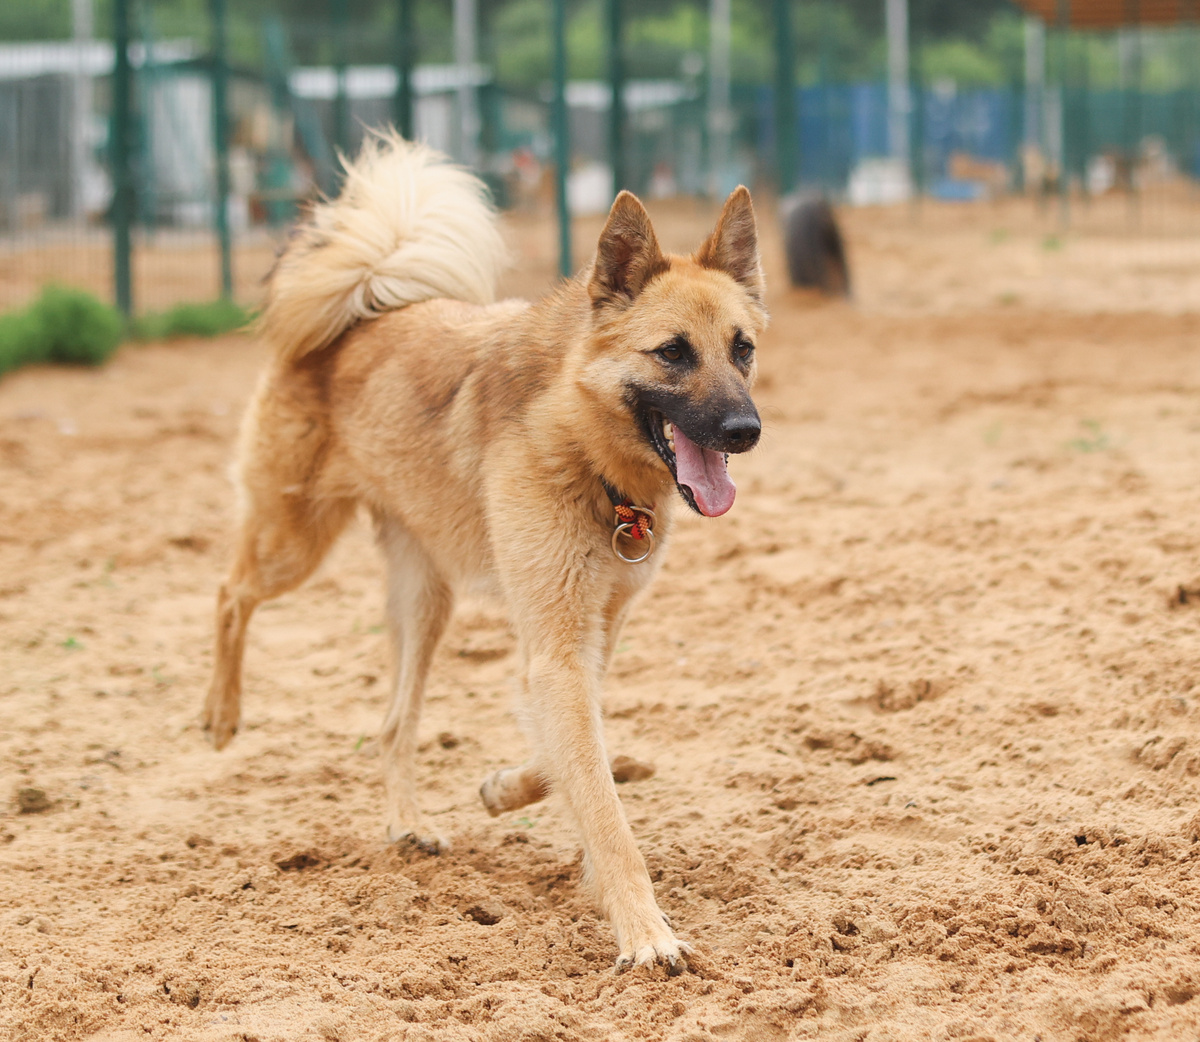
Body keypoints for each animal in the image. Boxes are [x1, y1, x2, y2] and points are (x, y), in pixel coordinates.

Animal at [204, 134, 768, 974]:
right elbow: (603, 805)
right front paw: (645, 933)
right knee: (229, 594)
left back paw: (408, 824)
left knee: (391, 725)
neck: (581, 443)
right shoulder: (556, 651)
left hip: (424, 602)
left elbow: (576, 759)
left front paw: (503, 789)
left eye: (743, 350)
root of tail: (363, 311)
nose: (744, 431)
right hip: (293, 544)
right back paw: (221, 716)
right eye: (672, 352)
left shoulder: (587, 641)